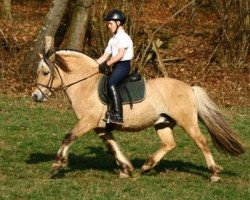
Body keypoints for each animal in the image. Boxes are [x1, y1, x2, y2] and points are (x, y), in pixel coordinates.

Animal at [31, 49, 244, 181]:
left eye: (45, 72)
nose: (35, 96)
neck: (86, 85)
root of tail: (189, 88)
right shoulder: (100, 126)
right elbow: (112, 146)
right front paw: (126, 169)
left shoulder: (88, 122)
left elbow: (69, 137)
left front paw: (57, 164)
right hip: (162, 122)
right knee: (169, 143)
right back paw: (147, 166)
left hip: (187, 121)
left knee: (201, 142)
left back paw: (214, 173)